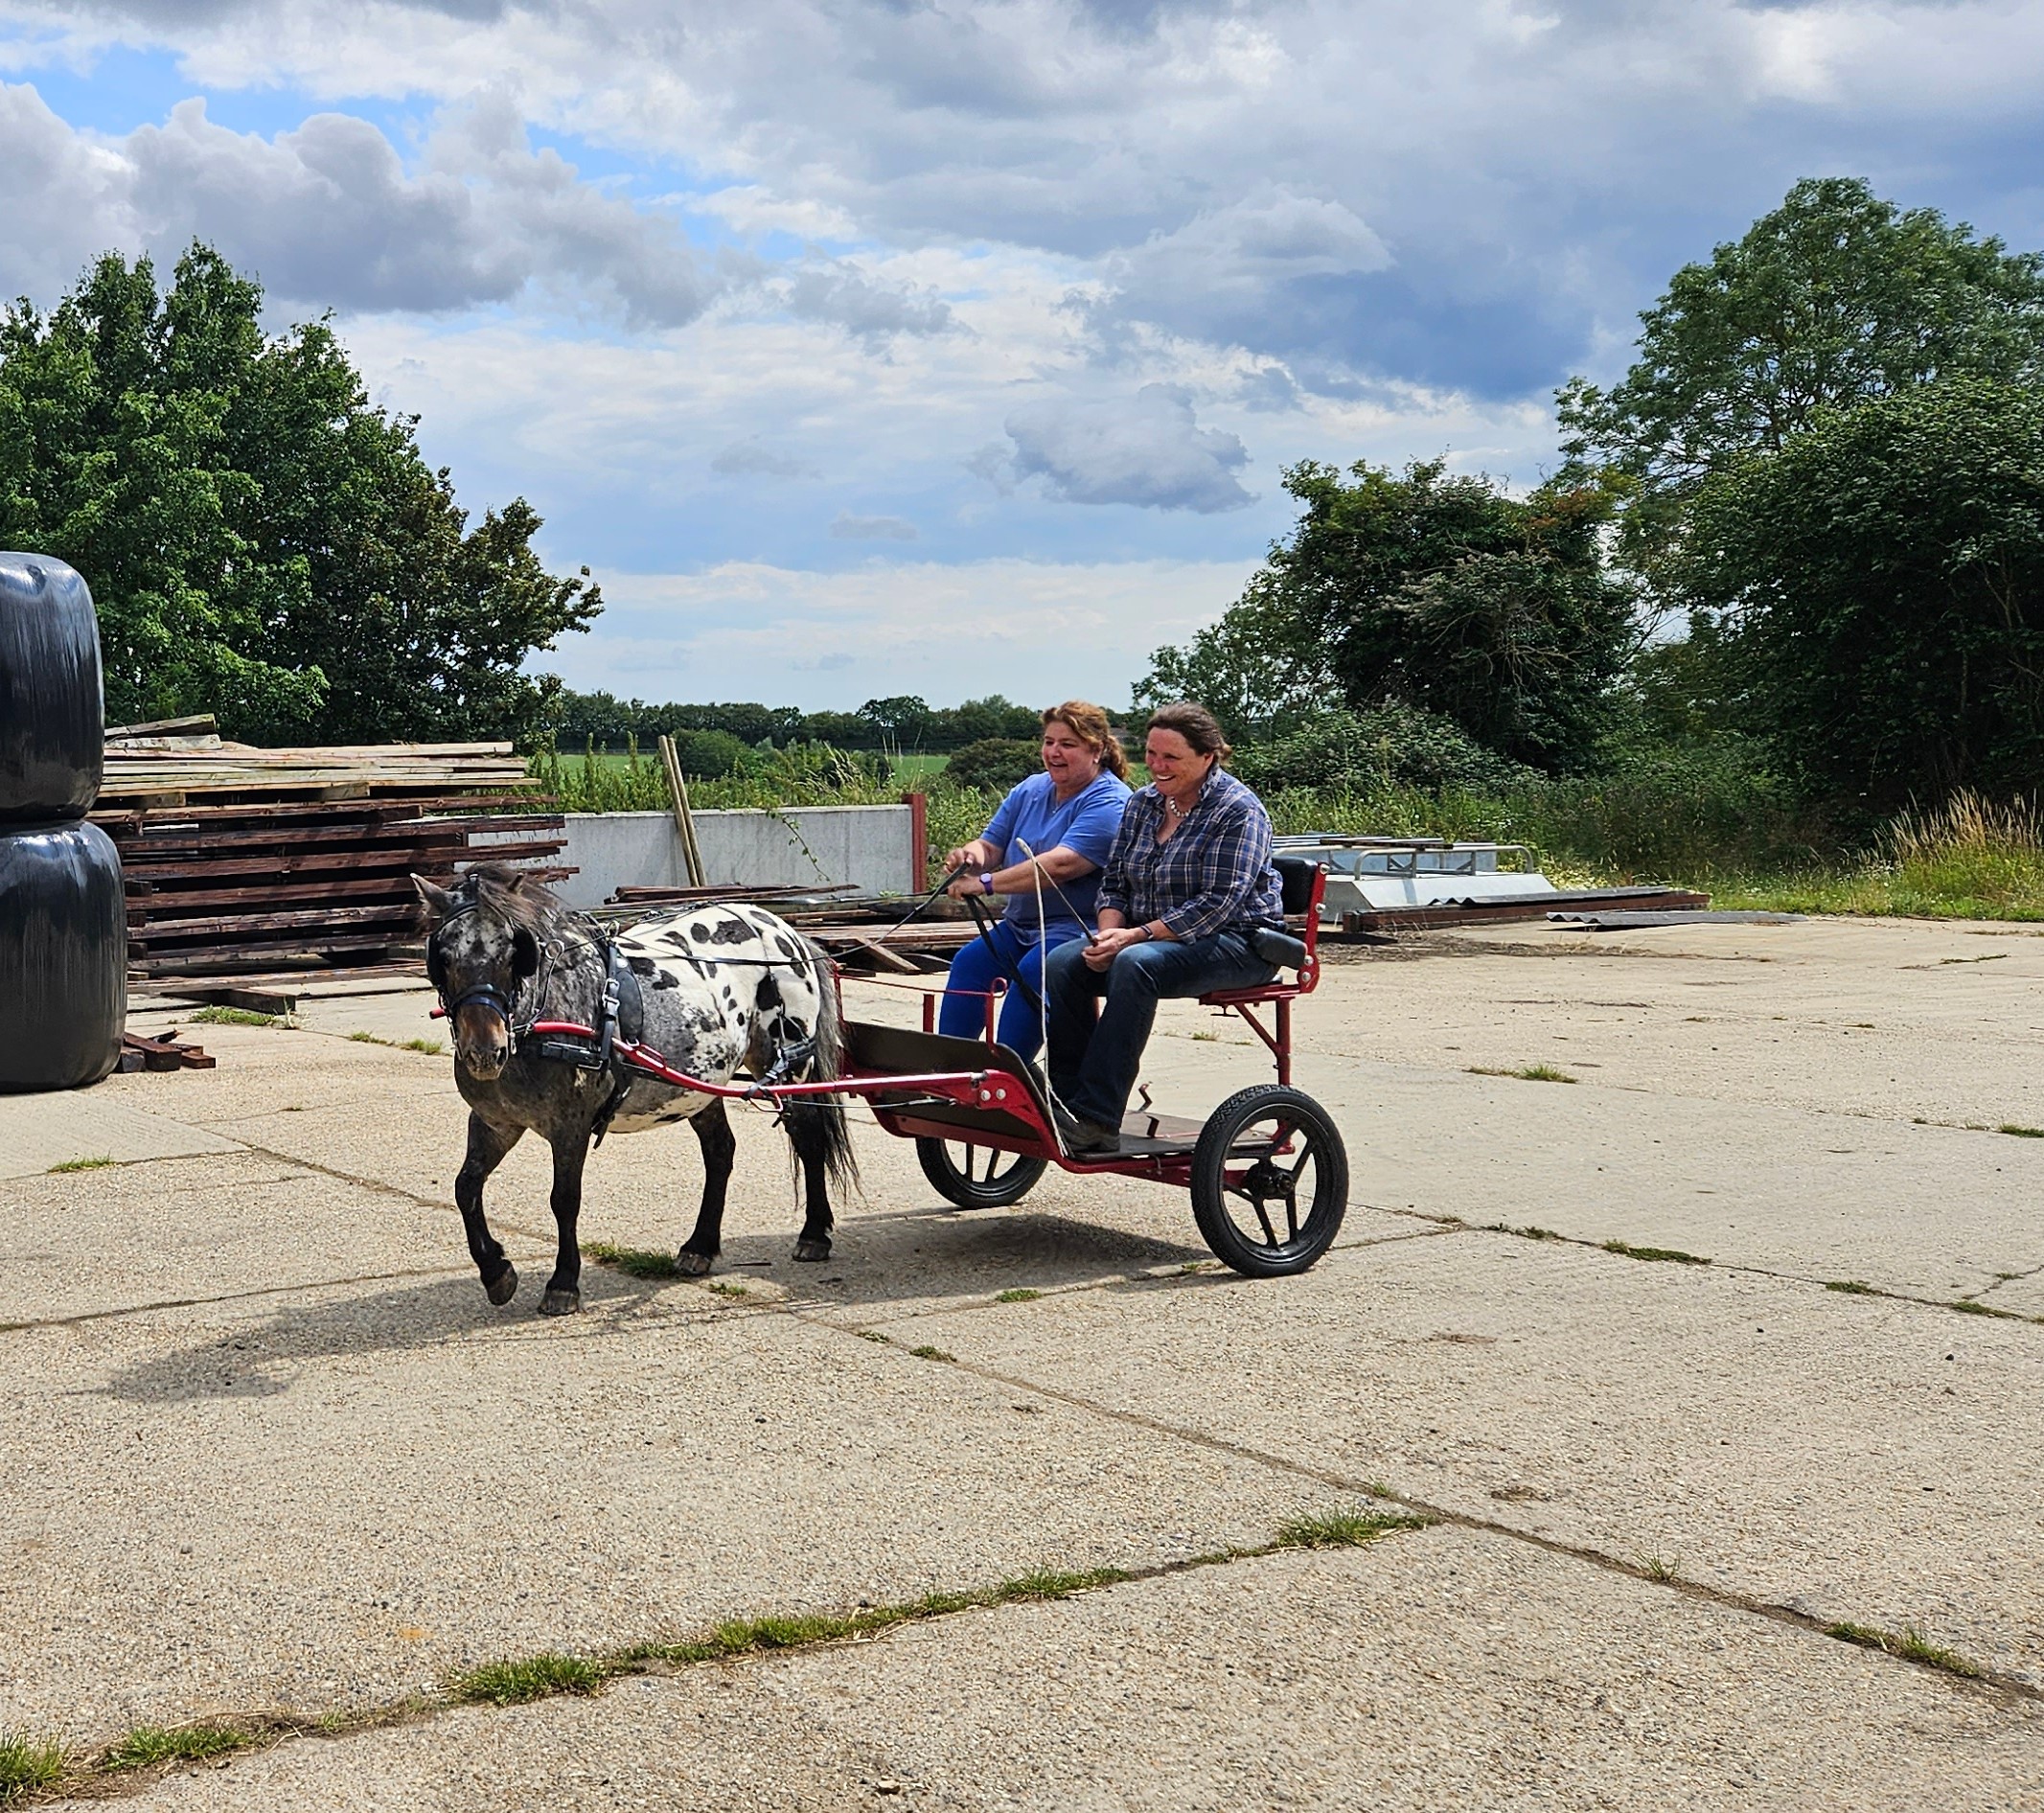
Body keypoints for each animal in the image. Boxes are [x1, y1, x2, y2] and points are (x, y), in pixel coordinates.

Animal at [410, 866, 858, 1316]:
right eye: (442, 957)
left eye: (512, 954)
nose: (485, 1052)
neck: (540, 1014)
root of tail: (785, 930)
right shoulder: (496, 1123)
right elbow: (465, 1188)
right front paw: (496, 1272)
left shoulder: (570, 1126)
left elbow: (564, 1199)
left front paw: (563, 1283)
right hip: (701, 1082)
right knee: (720, 1151)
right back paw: (700, 1246)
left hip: (789, 1065)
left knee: (808, 1137)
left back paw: (814, 1234)